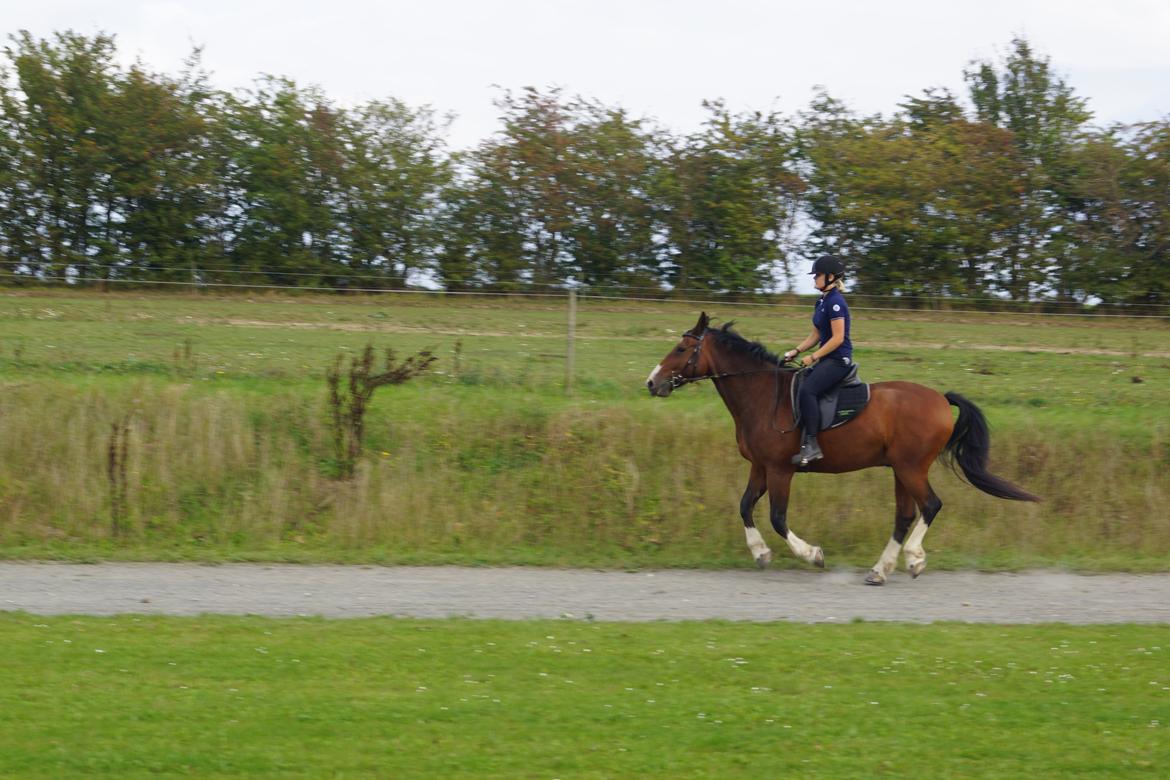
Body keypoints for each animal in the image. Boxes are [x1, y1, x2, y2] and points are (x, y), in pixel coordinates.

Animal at [650, 311, 1043, 584]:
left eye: (681, 349)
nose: (652, 383)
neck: (761, 395)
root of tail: (941, 400)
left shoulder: (780, 469)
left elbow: (778, 517)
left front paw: (813, 555)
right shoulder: (759, 466)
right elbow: (745, 506)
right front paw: (761, 554)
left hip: (912, 467)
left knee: (931, 505)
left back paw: (914, 558)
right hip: (900, 469)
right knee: (904, 515)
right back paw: (881, 570)